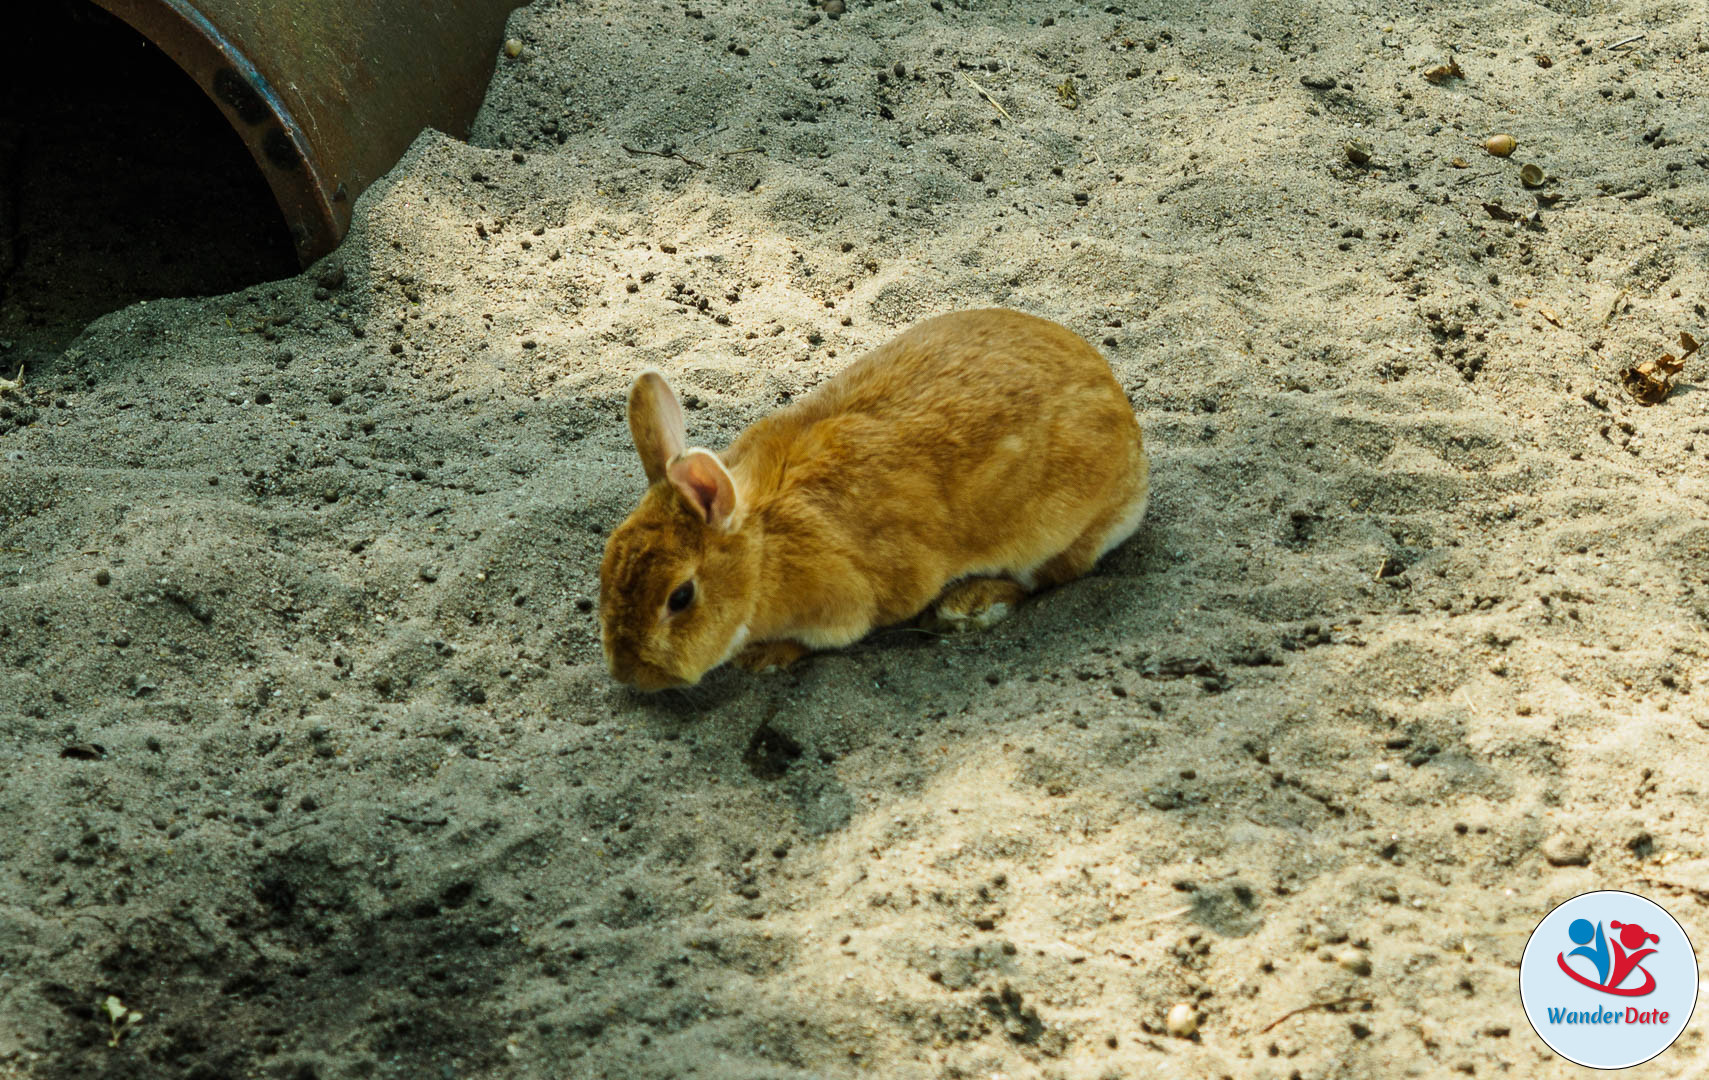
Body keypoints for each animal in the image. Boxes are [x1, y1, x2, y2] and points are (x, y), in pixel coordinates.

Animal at [601, 305, 1148, 690]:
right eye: (605, 567)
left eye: (681, 597)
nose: (631, 675)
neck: (763, 553)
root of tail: (1135, 453)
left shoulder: (845, 607)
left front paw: (763, 658)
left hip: (1052, 529)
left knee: (1048, 578)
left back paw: (967, 606)